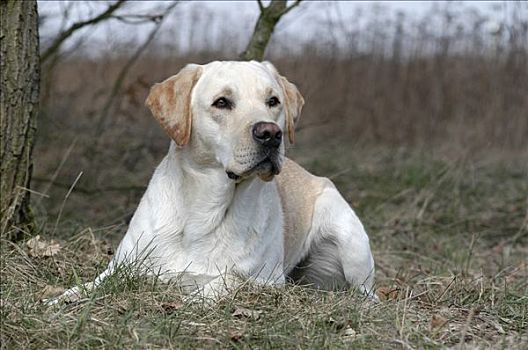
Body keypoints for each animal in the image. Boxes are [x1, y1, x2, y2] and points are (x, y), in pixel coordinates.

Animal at [52, 61, 376, 302]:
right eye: (222, 102)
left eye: (273, 101)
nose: (271, 134)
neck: (204, 211)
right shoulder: (122, 267)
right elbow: (84, 288)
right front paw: (58, 301)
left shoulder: (264, 280)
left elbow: (221, 283)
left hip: (349, 239)